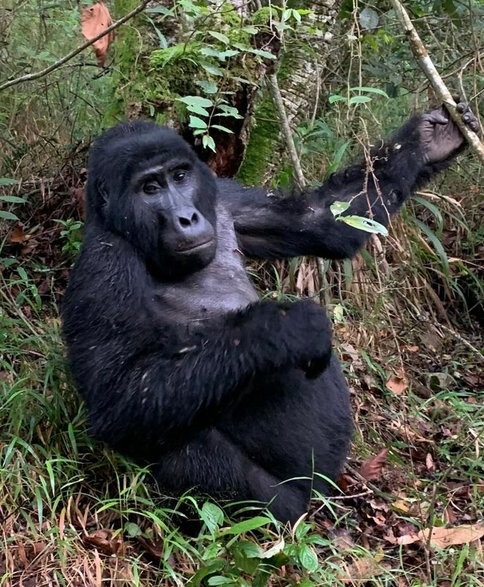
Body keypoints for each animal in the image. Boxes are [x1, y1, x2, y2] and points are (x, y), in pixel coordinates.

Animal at [60, 101, 476, 524]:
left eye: (179, 176)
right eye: (150, 188)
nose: (187, 217)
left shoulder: (225, 197)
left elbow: (319, 219)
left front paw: (431, 138)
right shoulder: (105, 265)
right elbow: (121, 396)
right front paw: (286, 328)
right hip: (287, 502)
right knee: (187, 452)